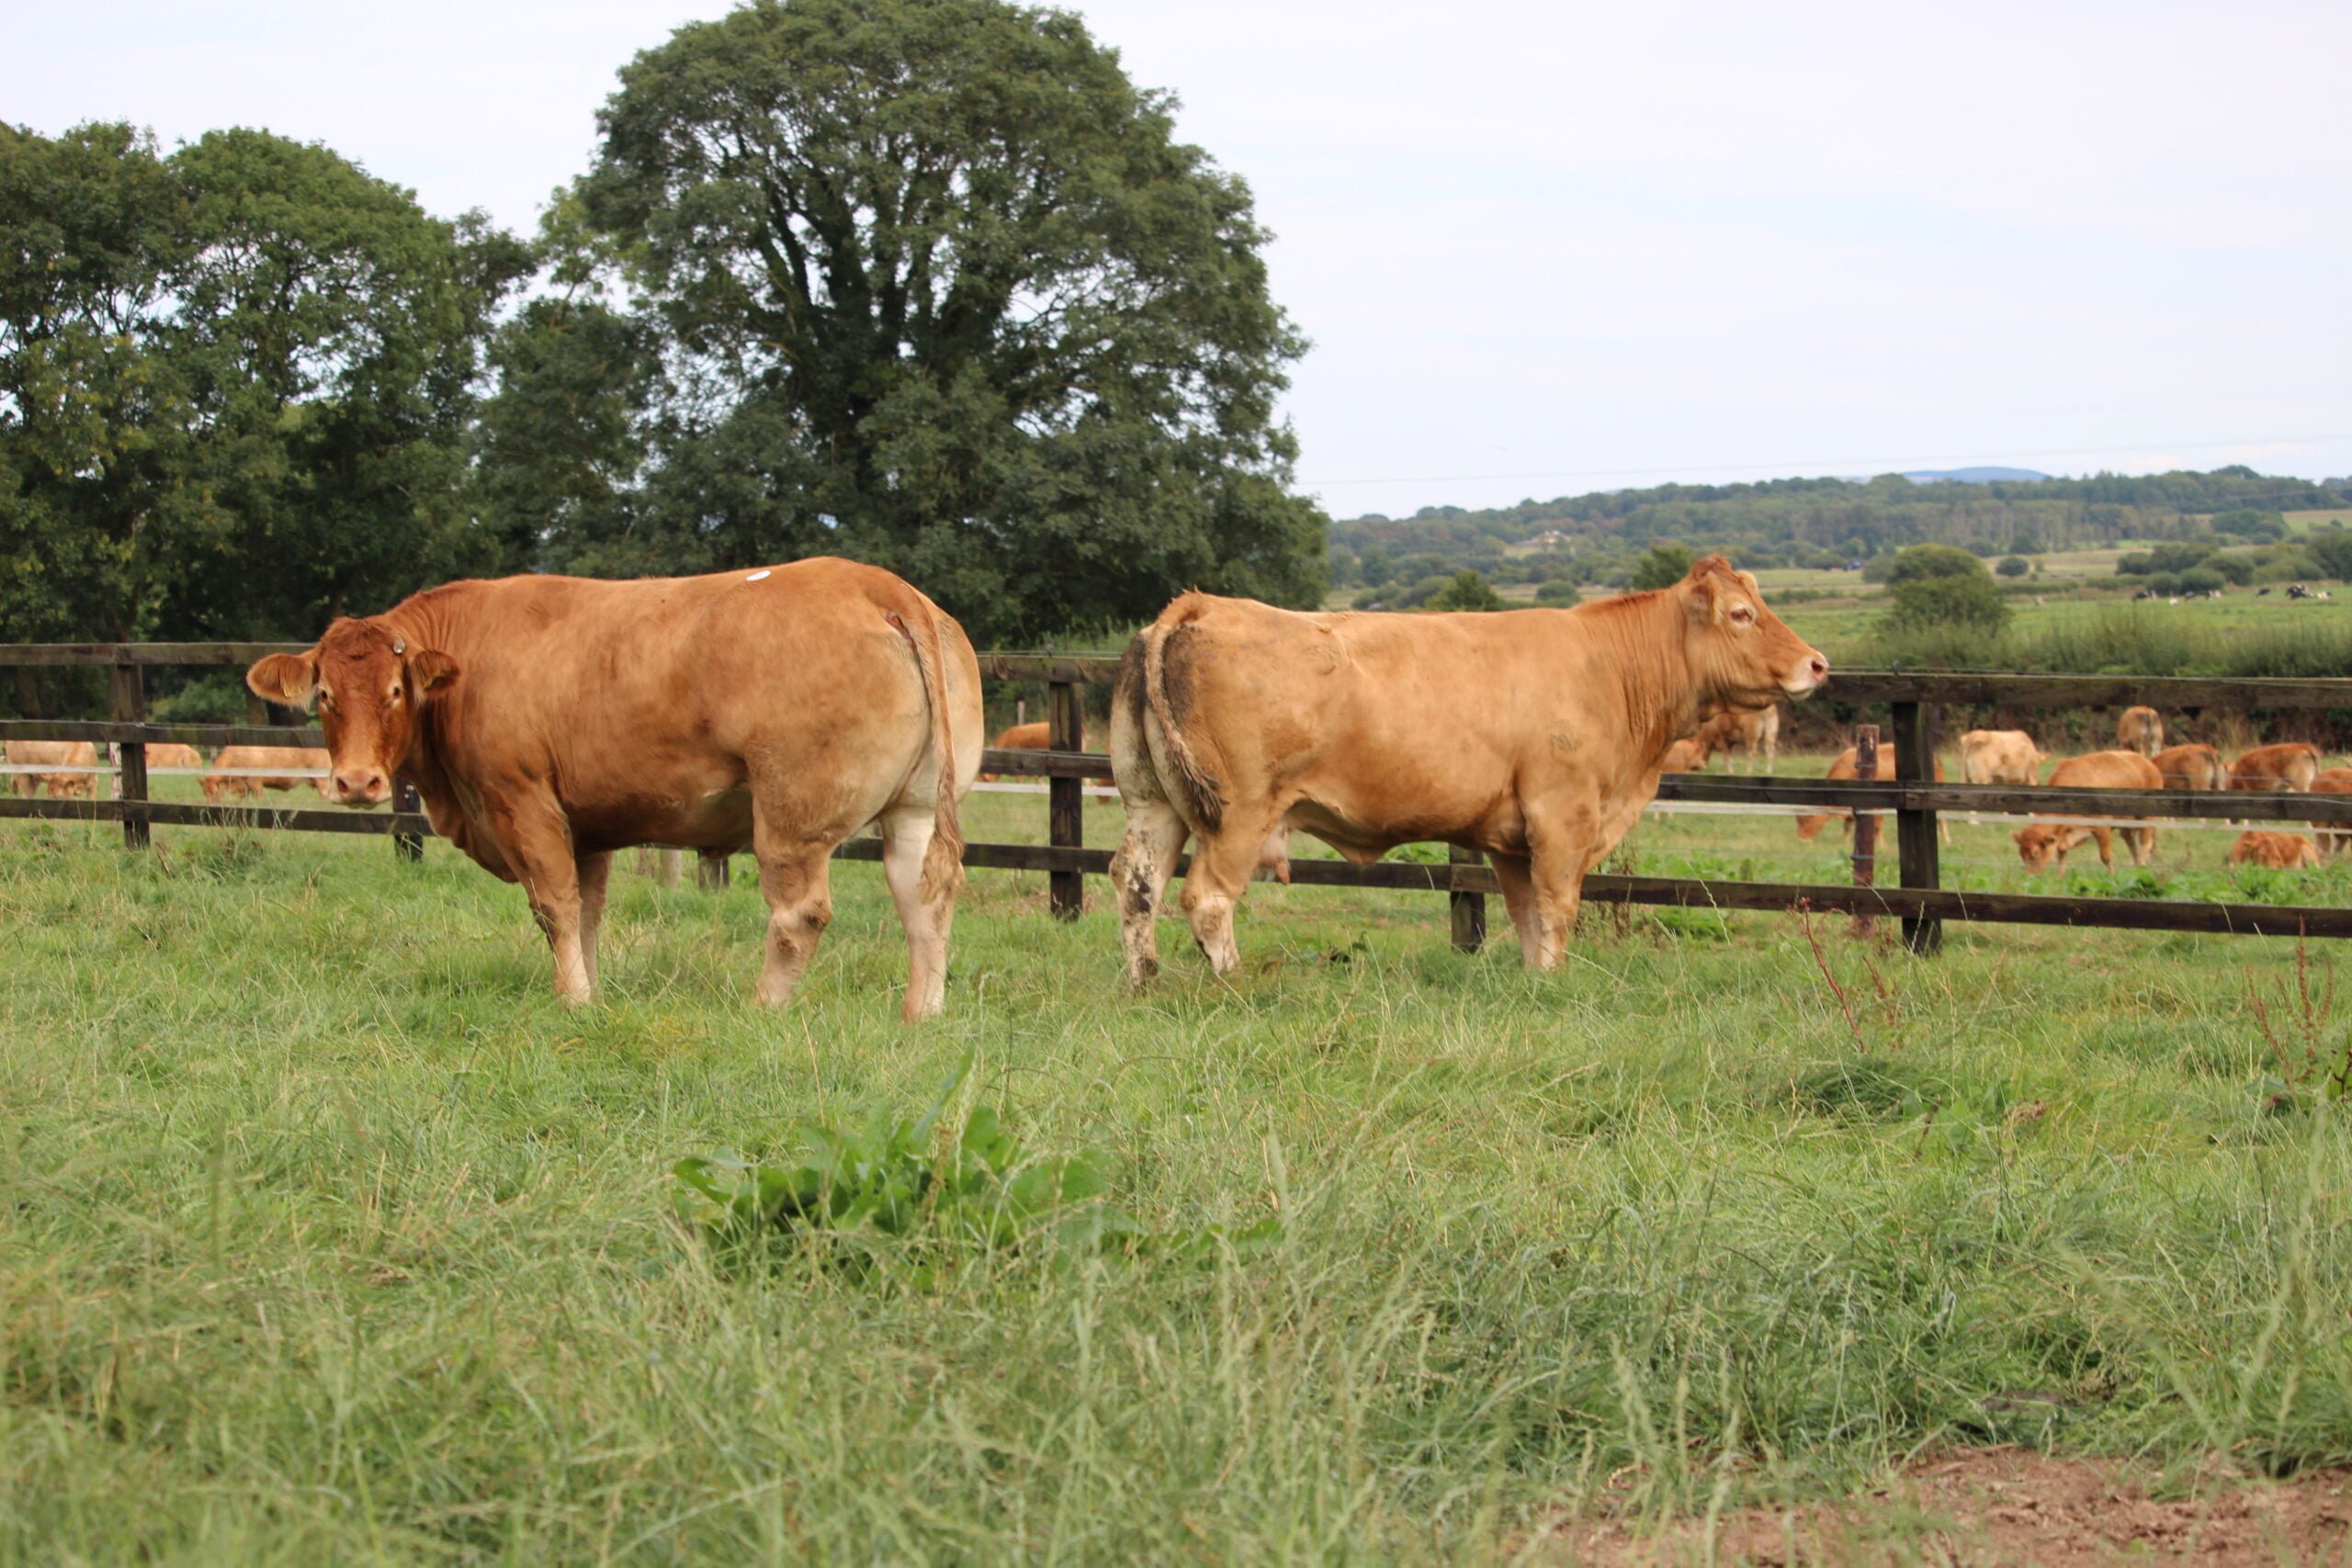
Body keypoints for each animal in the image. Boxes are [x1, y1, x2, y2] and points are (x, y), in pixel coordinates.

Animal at [201, 746, 333, 801]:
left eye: (214, 792)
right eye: (205, 793)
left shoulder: (255, 782)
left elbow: (260, 797)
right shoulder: (244, 787)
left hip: (323, 781)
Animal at [246, 559, 982, 1021]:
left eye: (396, 691)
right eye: (324, 694)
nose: (357, 781)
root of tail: (879, 585)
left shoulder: (523, 801)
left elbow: (555, 906)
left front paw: (571, 999)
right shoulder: (587, 823)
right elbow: (588, 910)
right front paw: (594, 993)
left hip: (789, 814)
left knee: (800, 914)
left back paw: (763, 1007)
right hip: (915, 807)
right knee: (925, 897)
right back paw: (921, 1013)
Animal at [1107, 555, 1827, 983]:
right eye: (1742, 614)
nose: (1817, 663)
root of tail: (1200, 603)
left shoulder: (1512, 837)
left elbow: (1528, 912)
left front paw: (1538, 981)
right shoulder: (1563, 815)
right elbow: (1559, 904)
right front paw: (1558, 979)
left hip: (1153, 802)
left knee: (1138, 883)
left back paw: (1145, 980)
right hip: (1241, 812)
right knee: (1206, 897)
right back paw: (1230, 980)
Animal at [1792, 745, 1948, 843]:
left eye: (1806, 820)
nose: (1801, 840)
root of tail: (1935, 757)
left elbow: (1877, 826)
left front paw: (1881, 847)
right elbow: (1847, 826)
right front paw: (1845, 843)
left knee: (1941, 817)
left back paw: (1947, 841)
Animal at [2012, 750, 2163, 872]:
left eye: (2036, 853)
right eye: (2021, 853)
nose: (2031, 875)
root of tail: (2149, 764)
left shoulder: (2102, 828)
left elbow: (2105, 857)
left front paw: (2112, 875)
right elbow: (2061, 855)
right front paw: (2060, 877)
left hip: (2146, 818)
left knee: (2145, 843)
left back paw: (2142, 866)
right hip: (2126, 825)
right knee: (2132, 844)